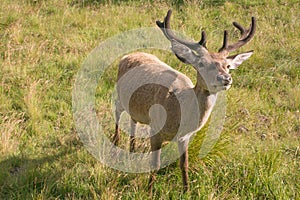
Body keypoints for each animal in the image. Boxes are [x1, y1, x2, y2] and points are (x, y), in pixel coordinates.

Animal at [112, 9, 255, 194]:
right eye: (201, 64)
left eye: (228, 66)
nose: (225, 78)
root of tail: (128, 55)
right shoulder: (155, 128)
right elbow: (155, 163)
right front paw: (149, 191)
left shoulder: (184, 137)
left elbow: (184, 165)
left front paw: (187, 191)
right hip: (120, 96)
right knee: (116, 111)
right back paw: (116, 143)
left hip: (136, 107)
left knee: (133, 121)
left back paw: (132, 150)